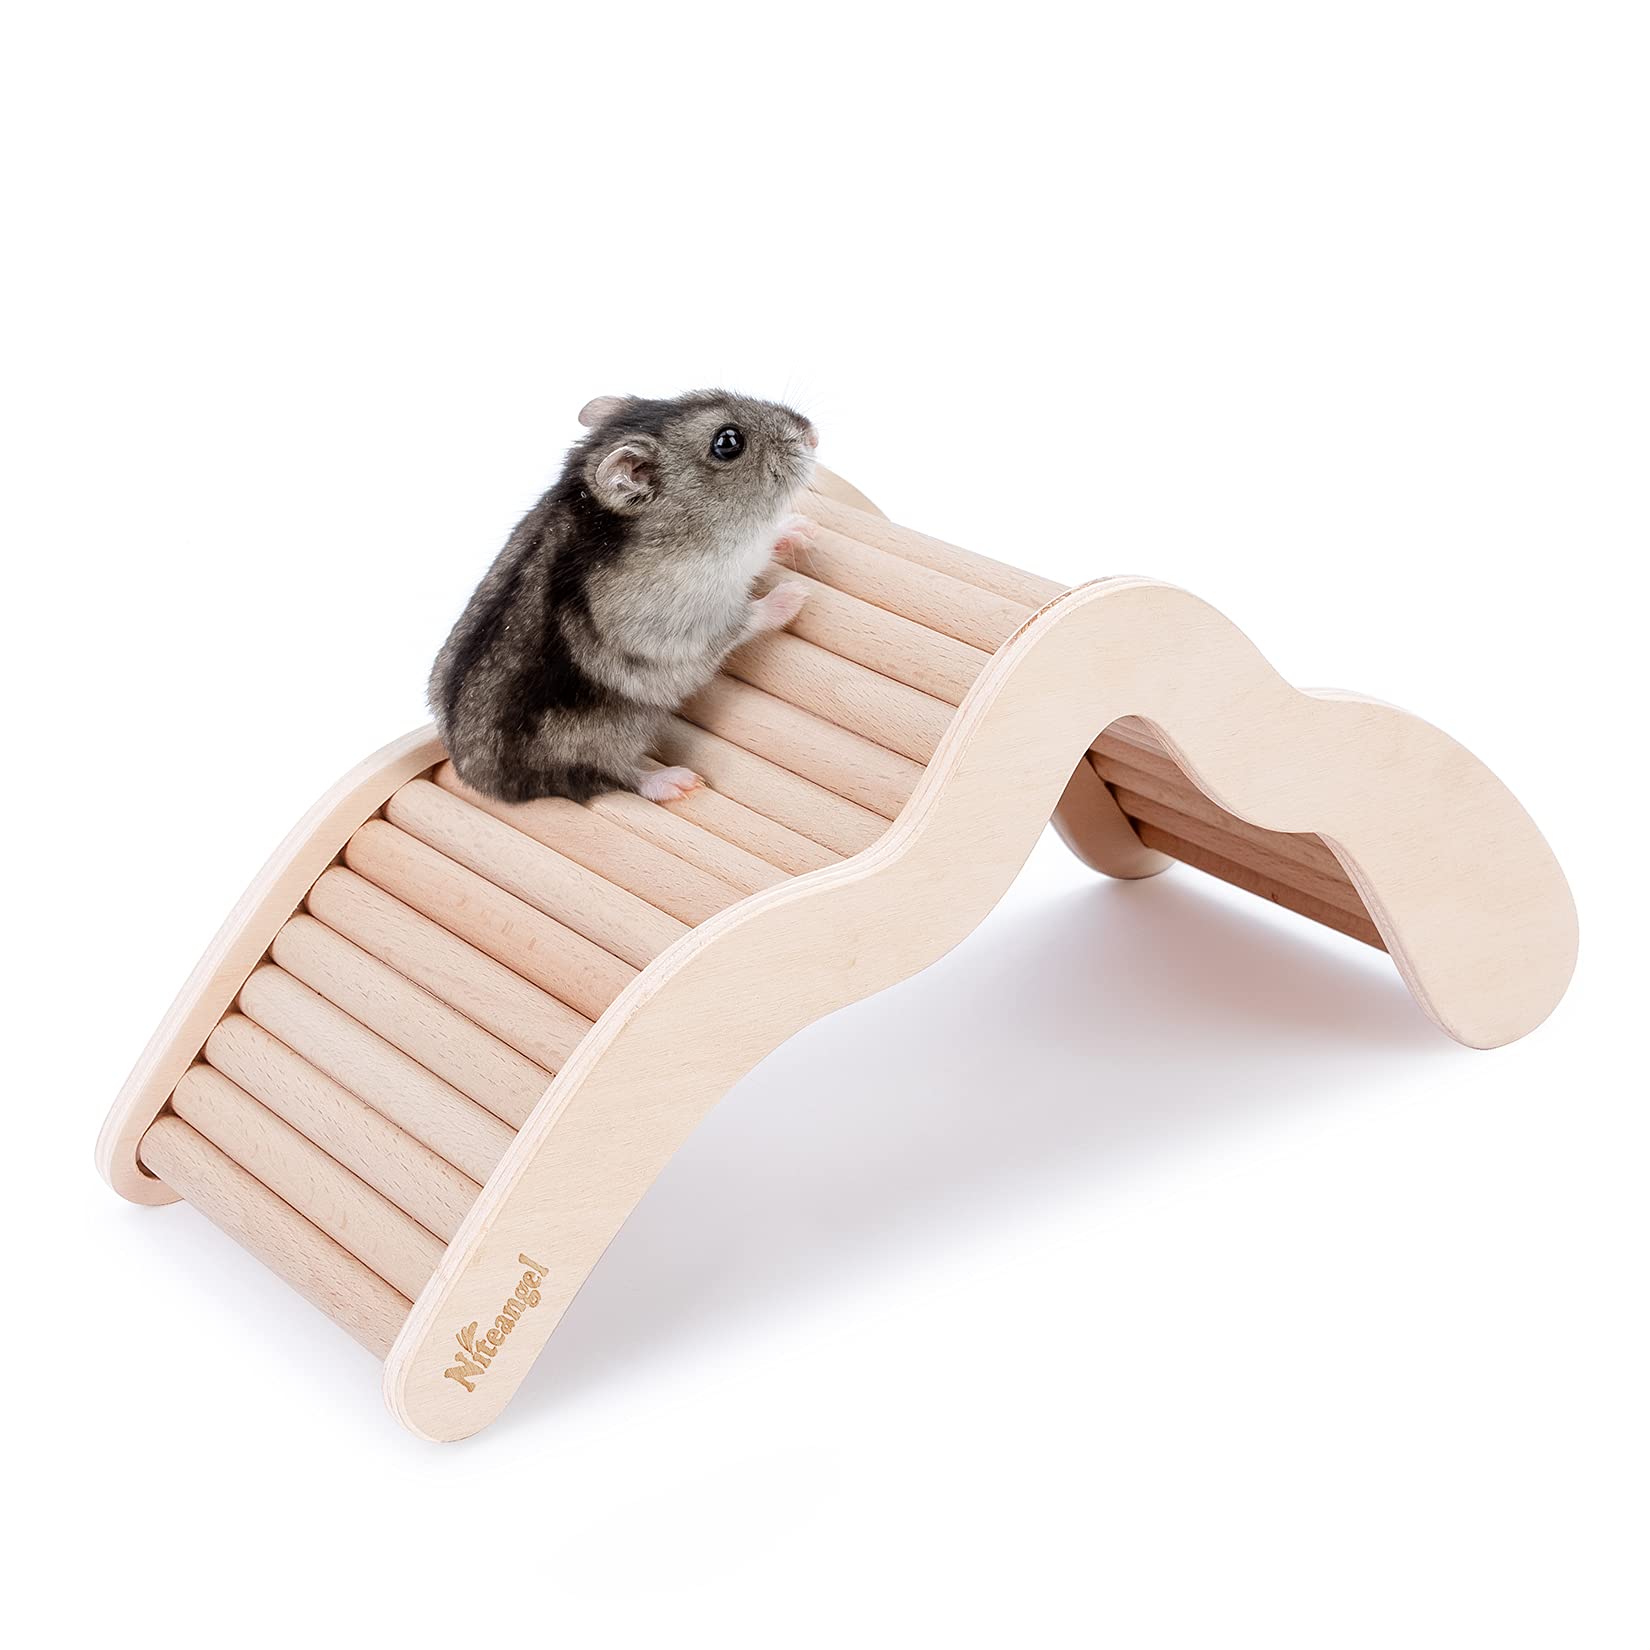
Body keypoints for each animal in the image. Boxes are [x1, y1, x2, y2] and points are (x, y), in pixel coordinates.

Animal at [429, 390, 818, 806]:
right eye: (728, 443)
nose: (813, 435)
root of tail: (480, 781)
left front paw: (802, 529)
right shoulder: (685, 622)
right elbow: (744, 619)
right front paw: (795, 595)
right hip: (602, 740)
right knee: (614, 776)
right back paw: (679, 782)